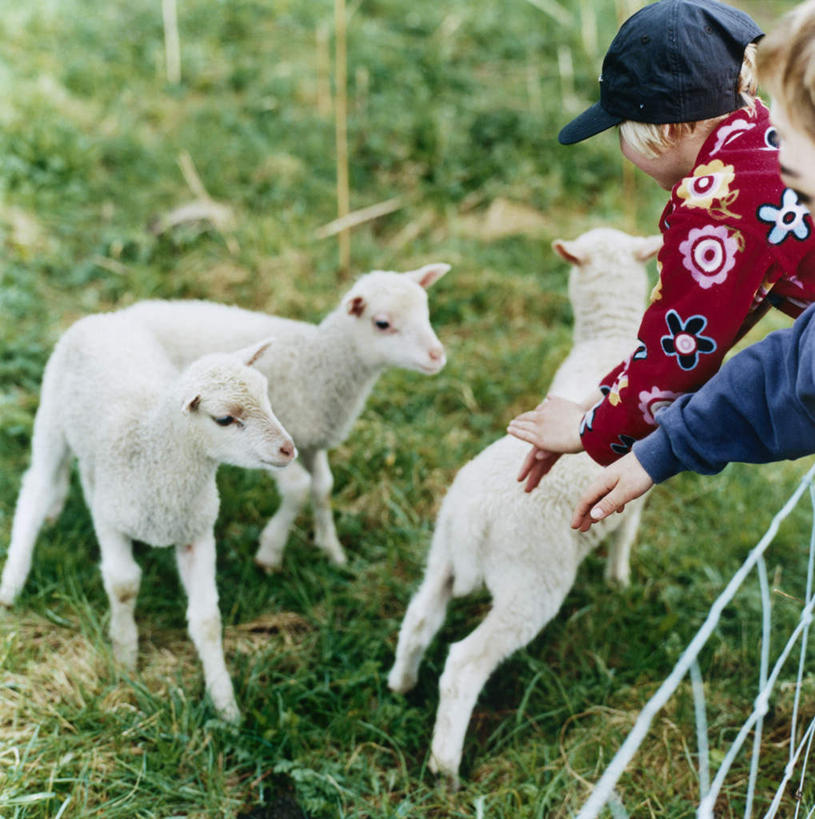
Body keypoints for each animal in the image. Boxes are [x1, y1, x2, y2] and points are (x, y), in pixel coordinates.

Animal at [0, 316, 298, 724]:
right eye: (225, 419)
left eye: (268, 399)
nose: (288, 449)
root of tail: (99, 319)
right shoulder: (111, 521)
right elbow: (124, 584)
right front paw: (125, 657)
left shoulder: (196, 530)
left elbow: (207, 620)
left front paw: (226, 705)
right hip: (51, 417)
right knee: (35, 487)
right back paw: (13, 582)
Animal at [122, 262, 452, 572]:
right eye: (382, 323)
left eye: (425, 311)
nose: (437, 356)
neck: (317, 363)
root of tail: (123, 313)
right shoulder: (270, 443)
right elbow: (299, 487)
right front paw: (270, 552)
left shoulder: (309, 439)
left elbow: (323, 487)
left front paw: (331, 549)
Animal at [386, 227, 660, 784]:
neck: (606, 335)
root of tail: (474, 519)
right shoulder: (632, 488)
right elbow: (625, 533)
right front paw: (619, 582)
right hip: (530, 585)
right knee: (464, 664)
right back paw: (446, 766)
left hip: (443, 552)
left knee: (419, 619)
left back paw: (401, 684)